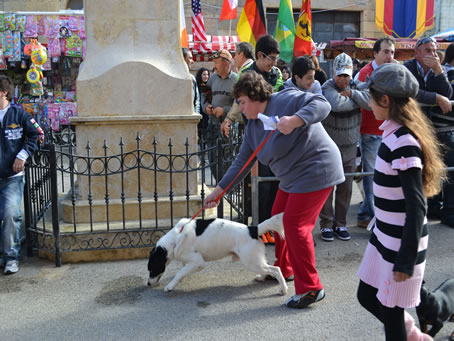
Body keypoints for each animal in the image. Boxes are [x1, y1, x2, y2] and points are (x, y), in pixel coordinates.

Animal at [147, 214, 288, 294]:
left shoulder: (198, 262)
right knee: (269, 268)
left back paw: (283, 289)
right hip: (256, 261)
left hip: (251, 263)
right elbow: (182, 272)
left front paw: (170, 286)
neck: (175, 239)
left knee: (276, 269)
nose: (148, 284)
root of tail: (252, 228)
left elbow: (179, 273)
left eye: (152, 269)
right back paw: (262, 277)